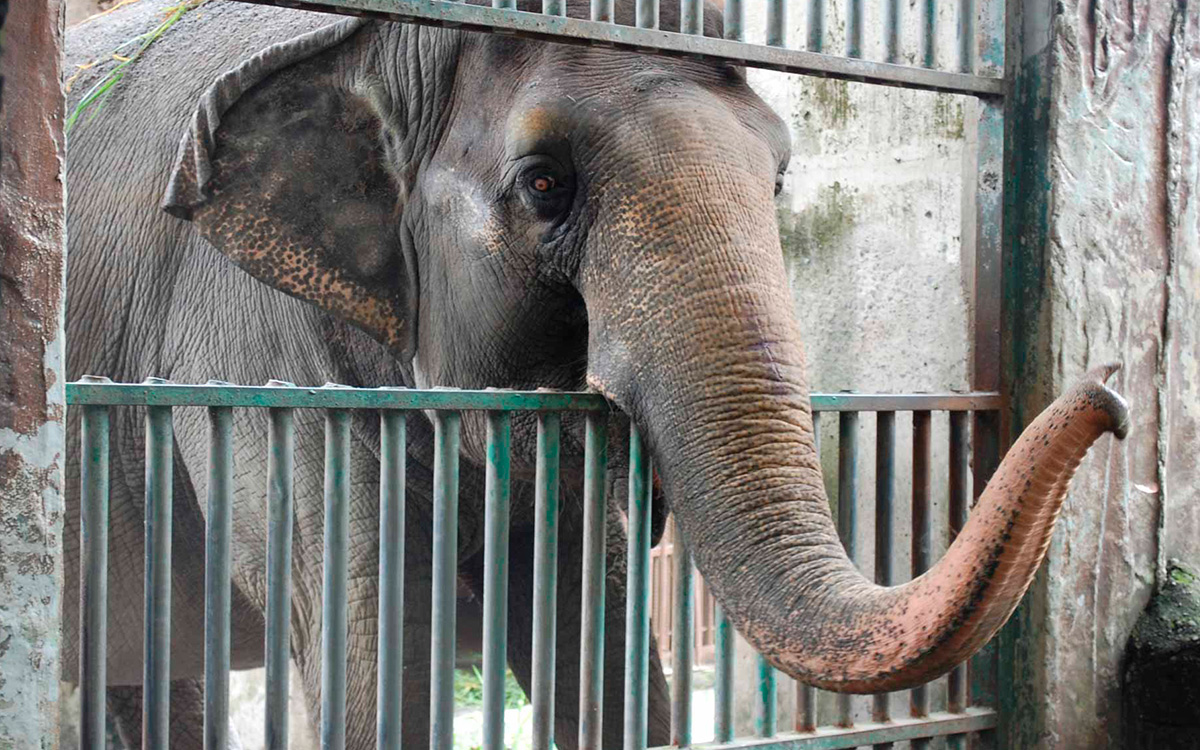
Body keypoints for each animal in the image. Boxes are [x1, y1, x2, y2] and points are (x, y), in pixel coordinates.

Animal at [63, 0, 1132, 744]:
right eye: (545, 184)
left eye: (780, 179)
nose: (1112, 394)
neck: (383, 42)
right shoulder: (256, 362)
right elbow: (381, 656)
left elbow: (601, 643)